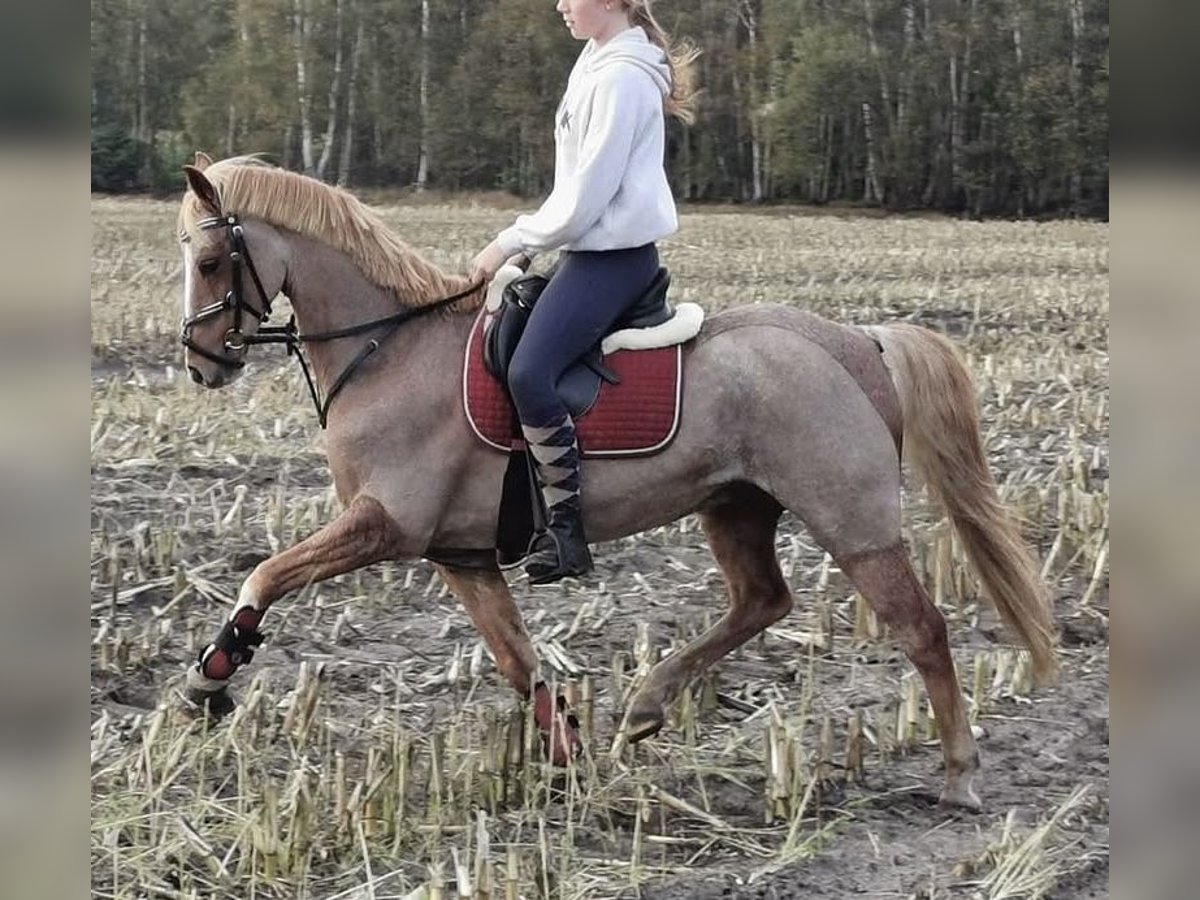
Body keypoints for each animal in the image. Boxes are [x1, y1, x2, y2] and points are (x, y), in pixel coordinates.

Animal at [174, 153, 1057, 812]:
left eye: (212, 260)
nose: (201, 365)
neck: (389, 349)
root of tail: (855, 340)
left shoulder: (385, 524)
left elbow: (267, 573)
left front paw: (213, 673)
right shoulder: (462, 556)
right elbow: (519, 661)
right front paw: (568, 757)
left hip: (853, 523)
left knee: (922, 630)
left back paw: (960, 776)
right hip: (735, 507)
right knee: (763, 600)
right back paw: (646, 706)